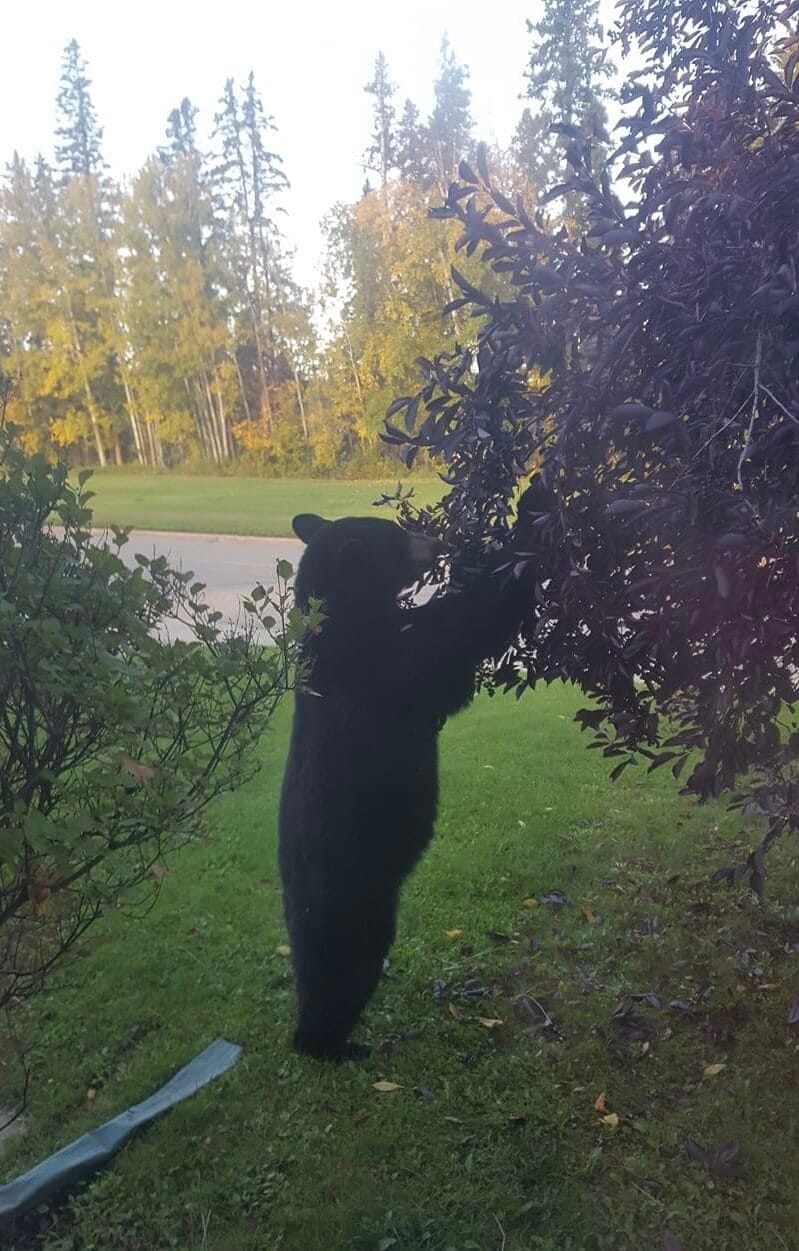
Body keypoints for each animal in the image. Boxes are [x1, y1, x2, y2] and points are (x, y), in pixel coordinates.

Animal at [278, 512, 531, 1061]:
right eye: (397, 537)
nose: (438, 543)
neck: (340, 617)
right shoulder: (381, 665)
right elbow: (453, 638)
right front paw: (527, 522)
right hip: (349, 897)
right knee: (342, 971)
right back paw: (331, 1044)